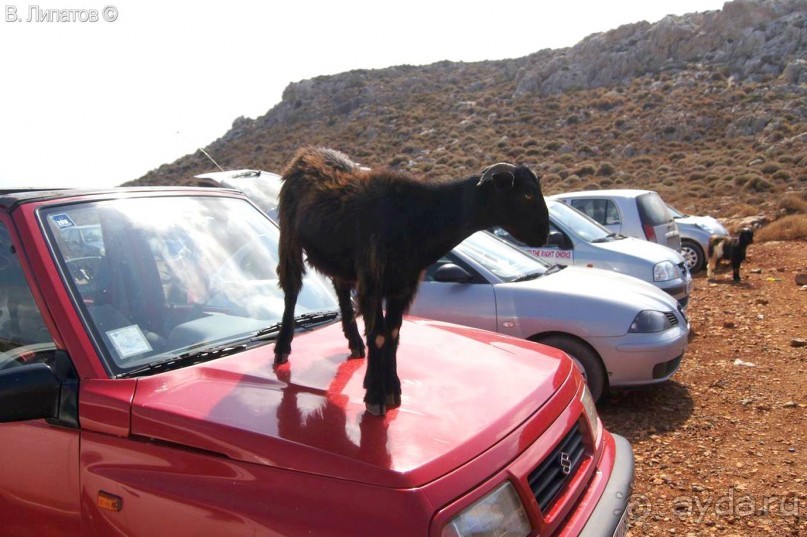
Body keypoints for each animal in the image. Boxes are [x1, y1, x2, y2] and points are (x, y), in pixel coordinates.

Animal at [276, 147, 548, 414]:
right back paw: (282, 348)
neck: (417, 218)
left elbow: (393, 333)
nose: (544, 235)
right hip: (289, 237)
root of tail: (305, 154)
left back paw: (354, 343)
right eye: (527, 195)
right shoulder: (372, 283)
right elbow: (379, 335)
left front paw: (392, 390)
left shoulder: (402, 286)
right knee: (291, 289)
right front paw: (375, 395)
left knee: (340, 288)